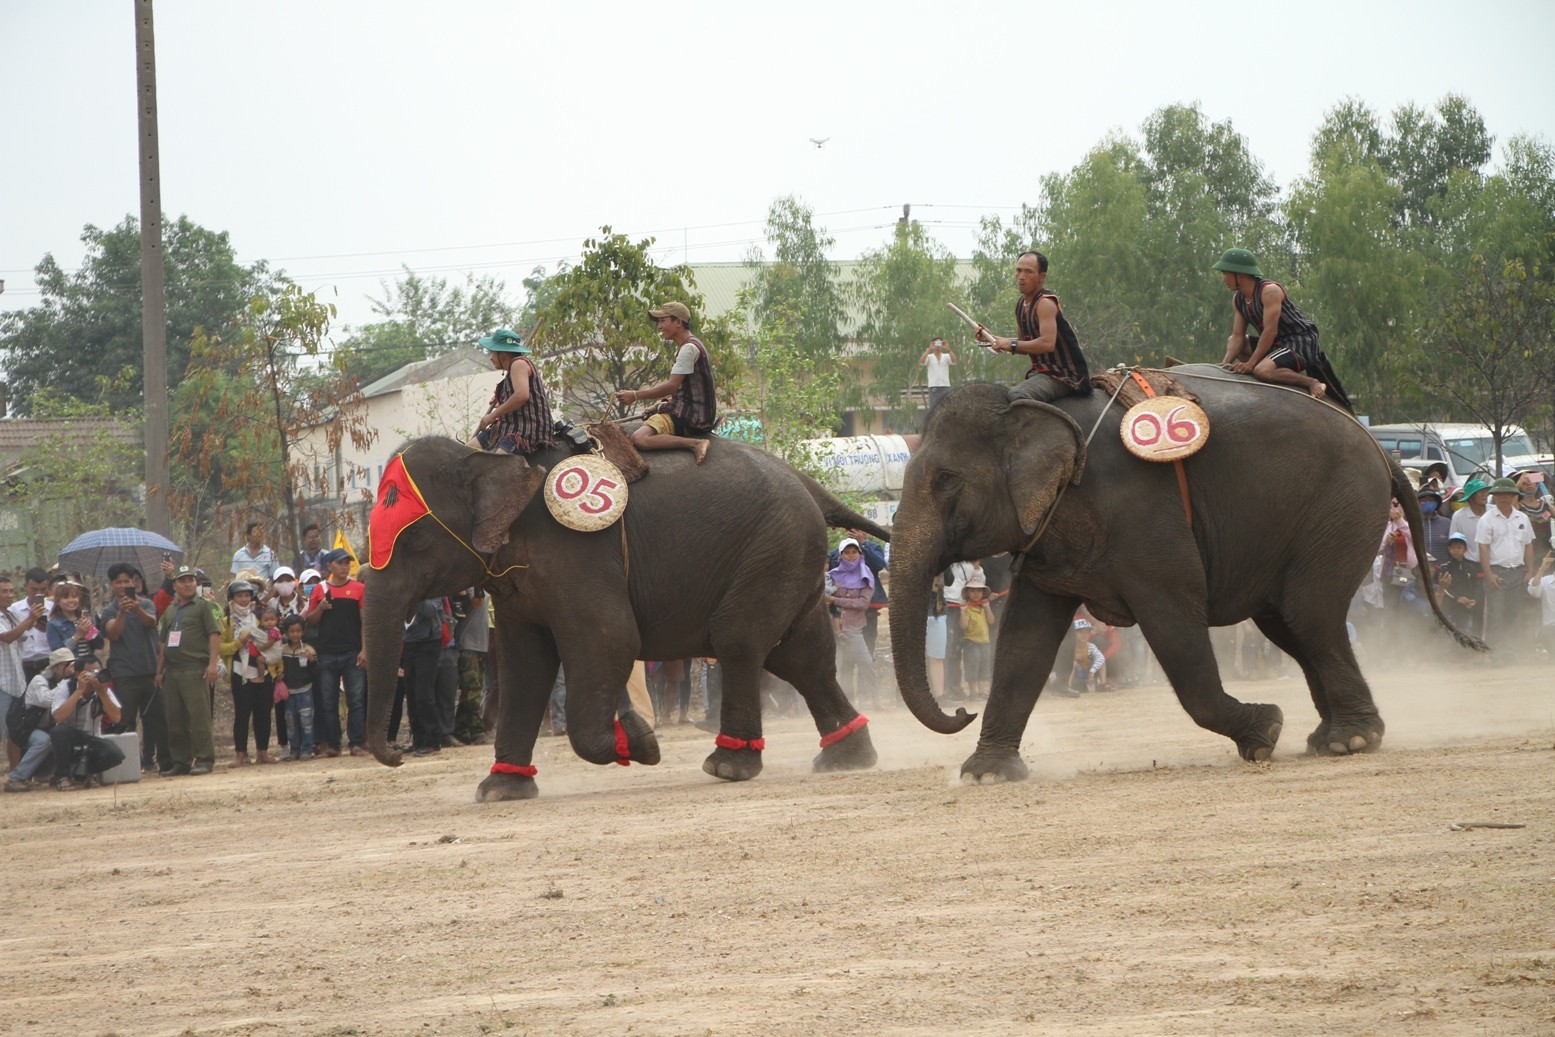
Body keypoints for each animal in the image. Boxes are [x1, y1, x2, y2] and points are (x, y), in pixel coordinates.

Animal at [356, 435, 889, 802]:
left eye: (415, 539)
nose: (399, 753)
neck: (484, 456)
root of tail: (806, 482)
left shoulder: (575, 553)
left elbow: (611, 640)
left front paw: (641, 742)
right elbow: (525, 666)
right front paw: (499, 792)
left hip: (774, 547)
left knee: (739, 642)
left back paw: (728, 767)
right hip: (790, 555)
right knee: (802, 656)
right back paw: (846, 758)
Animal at [889, 368, 1480, 783]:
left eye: (945, 480)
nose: (961, 707)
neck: (1023, 403)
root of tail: (1382, 450)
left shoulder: (1144, 516)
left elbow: (1175, 624)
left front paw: (1266, 731)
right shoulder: (1048, 534)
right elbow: (1022, 641)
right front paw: (986, 775)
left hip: (1344, 506)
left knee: (1308, 614)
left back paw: (1350, 743)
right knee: (1289, 622)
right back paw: (1330, 739)